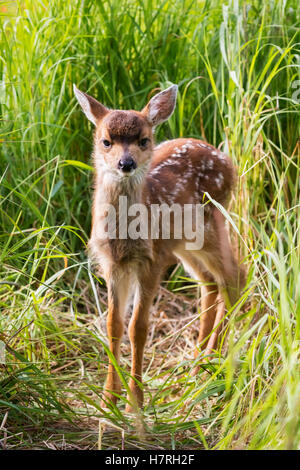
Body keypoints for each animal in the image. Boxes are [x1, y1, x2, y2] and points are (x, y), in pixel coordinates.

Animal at [74, 81, 245, 412]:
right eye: (105, 141)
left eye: (143, 140)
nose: (125, 163)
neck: (124, 236)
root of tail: (226, 159)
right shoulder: (113, 264)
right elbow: (113, 324)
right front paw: (108, 399)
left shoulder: (150, 262)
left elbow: (137, 328)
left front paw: (135, 402)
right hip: (183, 245)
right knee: (210, 282)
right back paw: (197, 364)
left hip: (211, 225)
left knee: (235, 276)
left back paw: (214, 363)